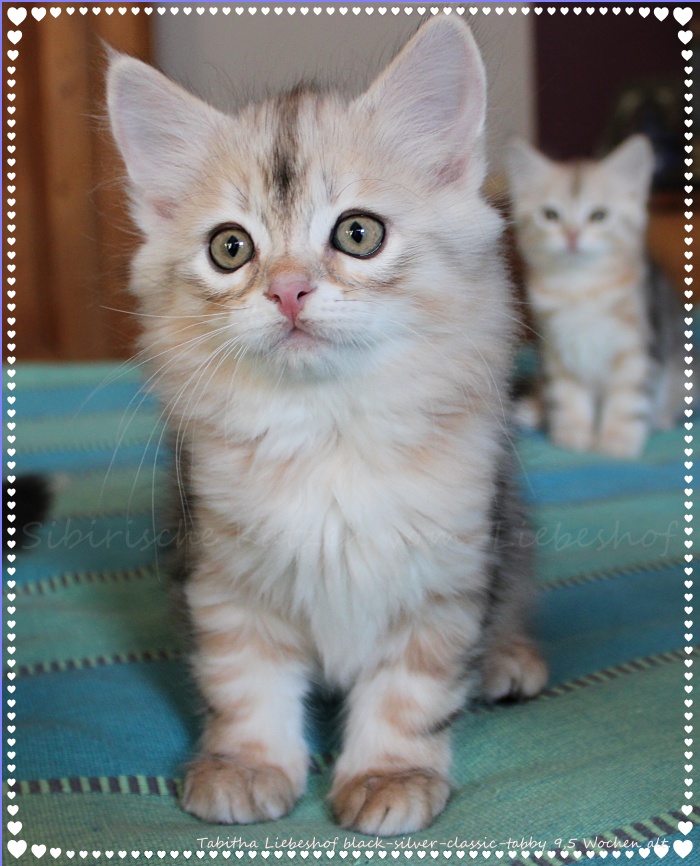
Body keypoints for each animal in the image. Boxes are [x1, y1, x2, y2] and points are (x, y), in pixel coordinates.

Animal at [108, 16, 548, 832]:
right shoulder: (221, 574)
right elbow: (244, 684)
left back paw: (508, 659)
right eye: (231, 248)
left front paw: (389, 774)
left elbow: (409, 693)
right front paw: (246, 766)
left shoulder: (444, 578)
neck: (328, 429)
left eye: (358, 234)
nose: (287, 291)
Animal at [506, 133, 680, 460]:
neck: (581, 287)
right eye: (551, 215)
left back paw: (664, 417)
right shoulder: (555, 348)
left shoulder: (637, 347)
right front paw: (572, 433)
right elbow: (566, 394)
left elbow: (628, 397)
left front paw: (617, 440)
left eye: (599, 216)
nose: (572, 235)